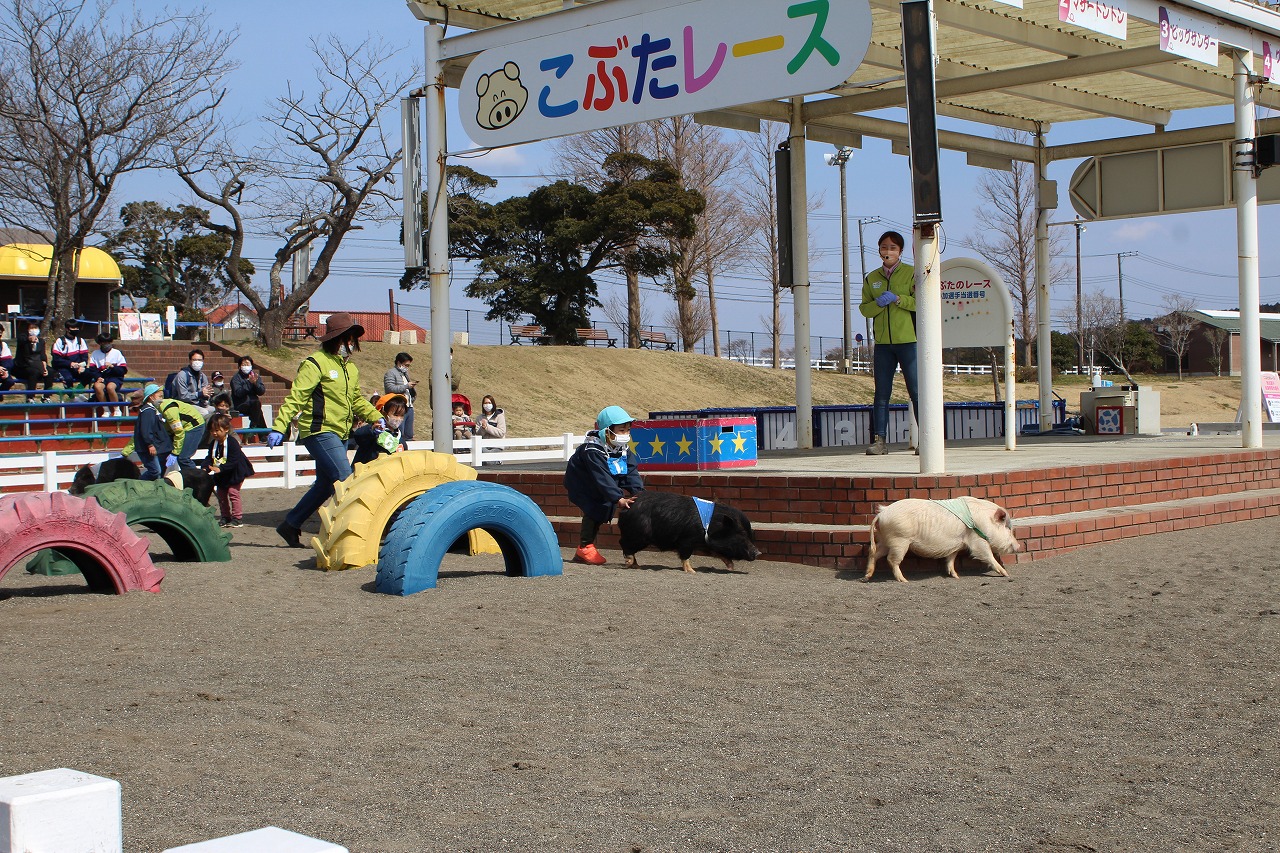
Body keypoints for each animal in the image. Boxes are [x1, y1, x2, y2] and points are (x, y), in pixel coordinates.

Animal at [616, 491, 757, 571]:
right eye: (741, 534)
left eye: (749, 534)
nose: (758, 552)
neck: (710, 525)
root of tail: (626, 508)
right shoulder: (687, 540)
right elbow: (685, 556)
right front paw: (692, 571)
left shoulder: (706, 544)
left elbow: (718, 553)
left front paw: (731, 567)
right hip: (639, 536)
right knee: (623, 543)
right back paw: (630, 564)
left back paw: (636, 566)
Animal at [870, 494, 1018, 581]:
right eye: (1008, 528)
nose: (1019, 546)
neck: (985, 521)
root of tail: (881, 514)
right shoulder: (977, 540)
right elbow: (987, 554)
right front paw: (1006, 574)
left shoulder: (957, 544)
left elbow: (951, 558)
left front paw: (956, 576)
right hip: (899, 540)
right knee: (891, 560)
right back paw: (903, 580)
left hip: (885, 540)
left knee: (874, 553)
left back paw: (867, 576)